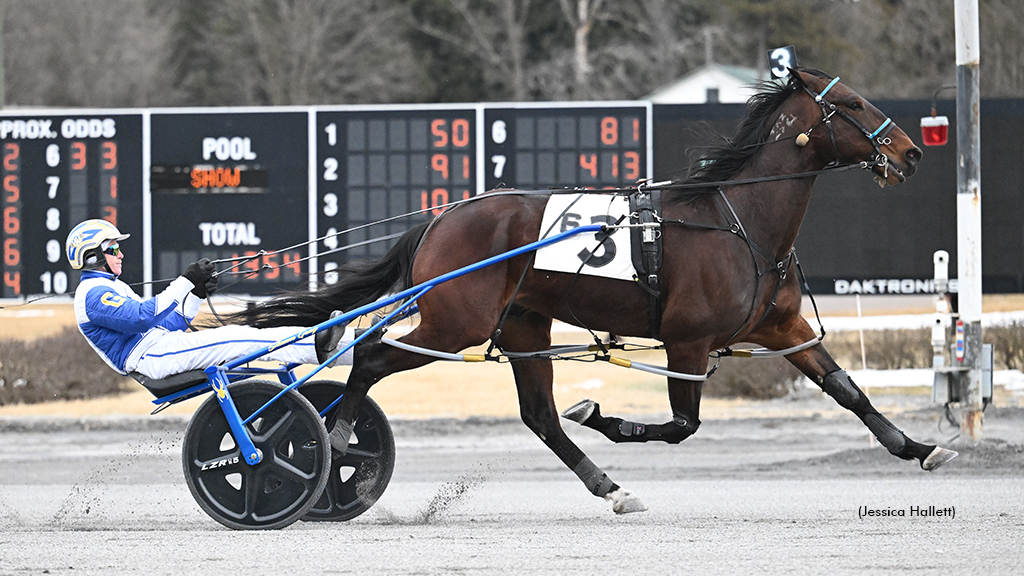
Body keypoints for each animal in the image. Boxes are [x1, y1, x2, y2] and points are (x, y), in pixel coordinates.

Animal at [228, 68, 954, 510]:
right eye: (851, 105)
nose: (912, 151)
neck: (734, 219)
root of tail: (441, 217)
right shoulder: (687, 341)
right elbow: (681, 425)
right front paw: (603, 415)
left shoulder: (780, 328)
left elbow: (848, 390)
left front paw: (920, 448)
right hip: (457, 322)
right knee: (371, 356)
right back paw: (337, 437)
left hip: (521, 325)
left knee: (540, 417)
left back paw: (609, 486)